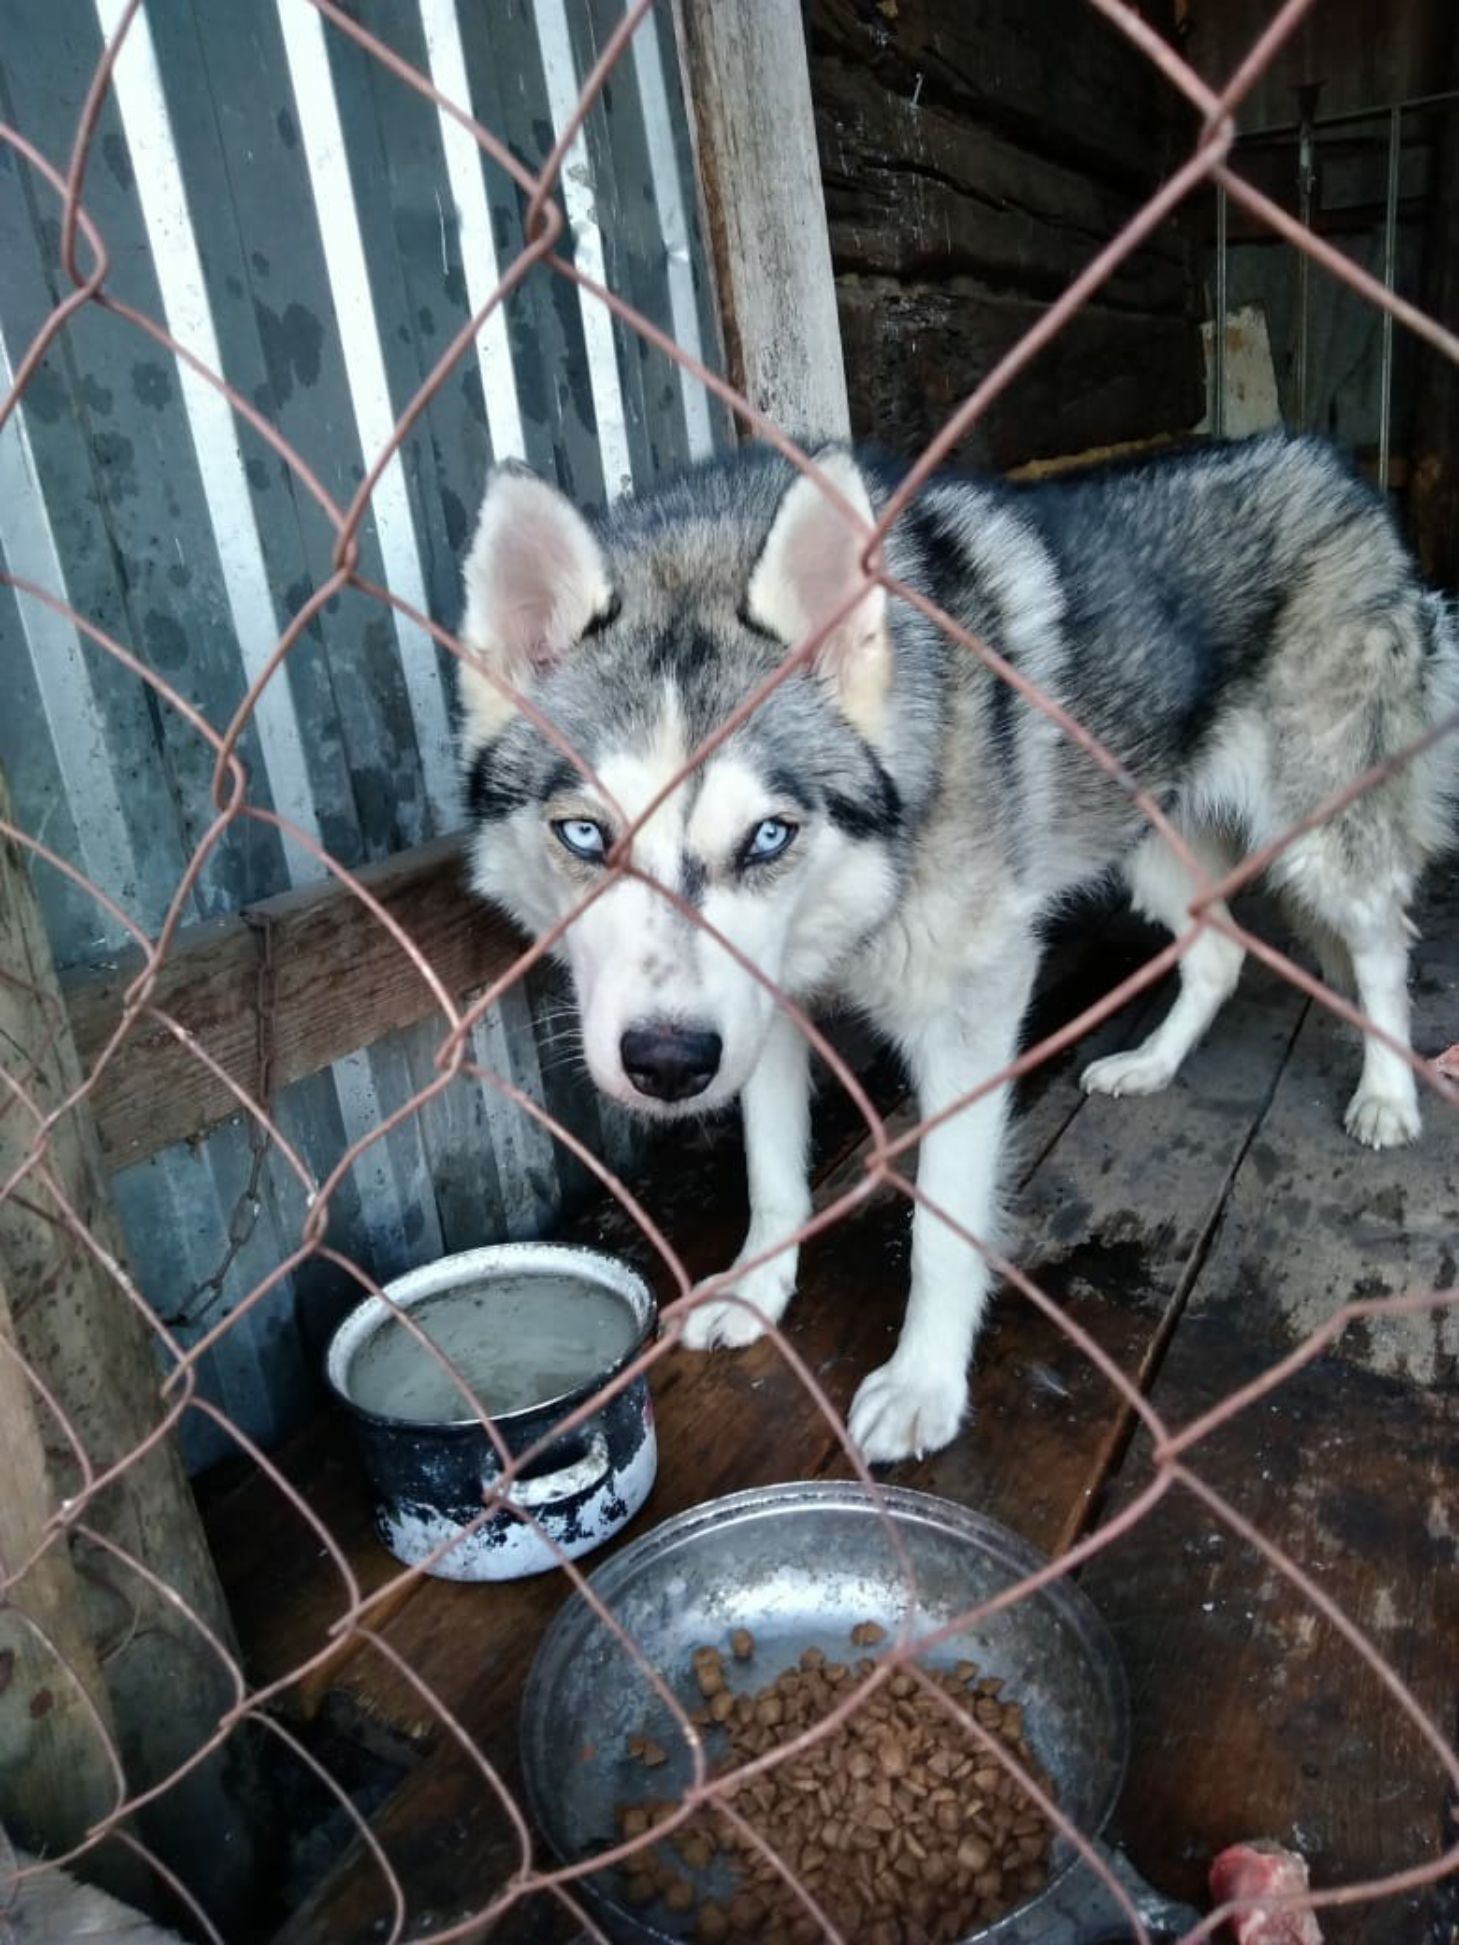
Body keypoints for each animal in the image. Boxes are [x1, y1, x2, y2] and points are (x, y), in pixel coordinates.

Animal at [457, 429, 1459, 1462]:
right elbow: (772, 1173)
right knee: (1217, 954)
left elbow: (942, 1229)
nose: (666, 1063)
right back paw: (1149, 1063)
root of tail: (1326, 463)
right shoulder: (762, 1004)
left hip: (1320, 841)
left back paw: (1388, 1095)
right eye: (586, 836)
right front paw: (758, 1287)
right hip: (1154, 853)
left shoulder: (974, 1003)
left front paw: (922, 1382)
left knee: (1382, 947)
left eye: (768, 836)